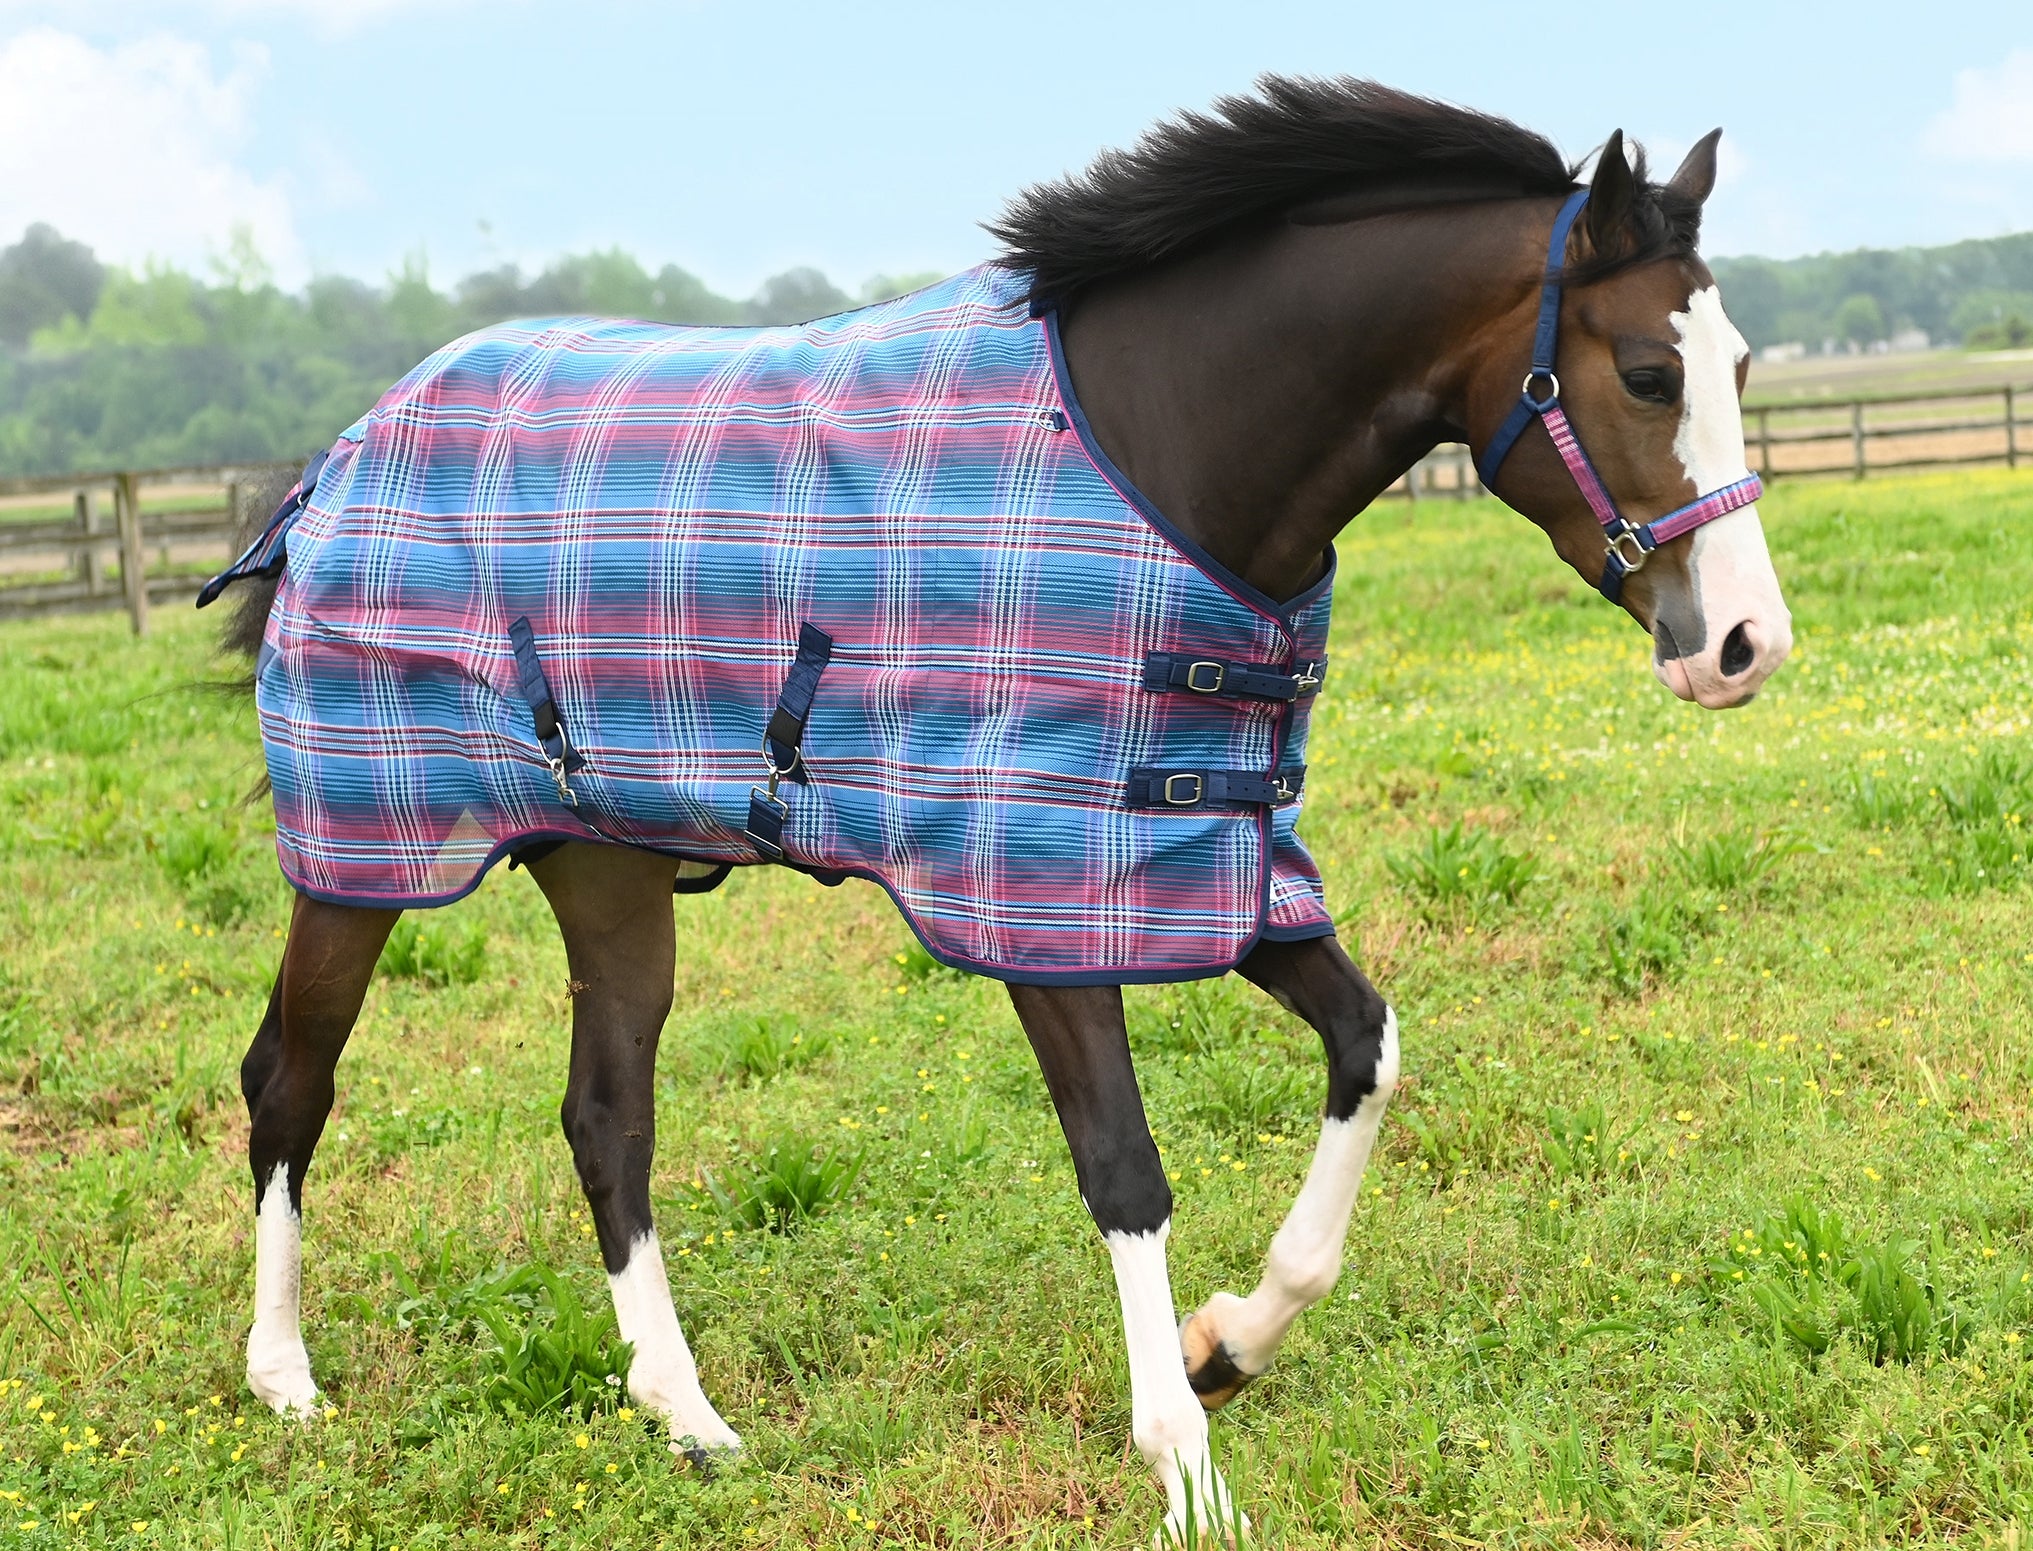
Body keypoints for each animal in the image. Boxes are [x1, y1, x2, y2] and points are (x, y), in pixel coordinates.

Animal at [206, 77, 1791, 1544]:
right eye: (1648, 373)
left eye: (1736, 362)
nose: (1743, 645)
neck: (1162, 456)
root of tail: (332, 464)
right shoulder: (1042, 903)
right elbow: (1125, 1169)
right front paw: (1184, 1468)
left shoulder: (1211, 862)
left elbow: (1369, 1050)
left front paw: (1230, 1343)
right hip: (363, 856)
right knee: (290, 1078)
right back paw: (284, 1377)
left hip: (608, 867)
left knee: (607, 1115)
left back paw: (690, 1416)